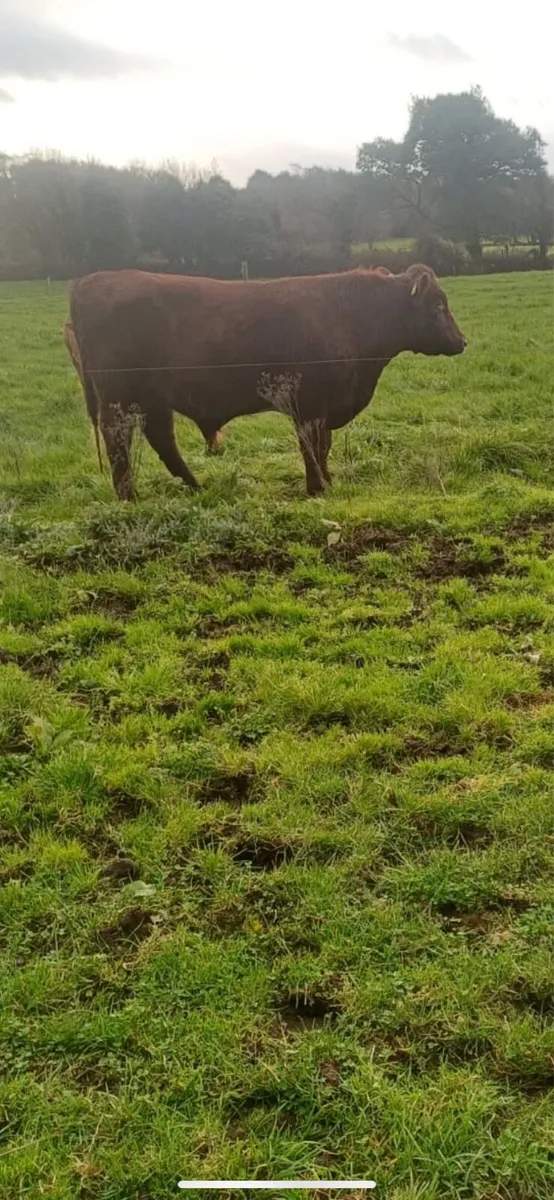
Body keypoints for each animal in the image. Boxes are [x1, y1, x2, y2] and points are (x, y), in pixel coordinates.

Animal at [67, 263, 466, 500]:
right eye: (438, 305)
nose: (462, 341)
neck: (349, 315)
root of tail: (91, 280)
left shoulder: (323, 406)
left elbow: (323, 447)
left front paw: (326, 481)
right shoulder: (308, 403)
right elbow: (312, 446)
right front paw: (317, 487)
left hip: (153, 399)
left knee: (162, 439)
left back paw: (196, 487)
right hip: (118, 400)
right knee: (119, 442)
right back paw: (130, 497)